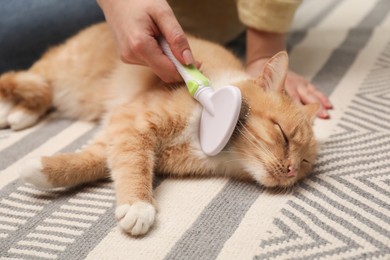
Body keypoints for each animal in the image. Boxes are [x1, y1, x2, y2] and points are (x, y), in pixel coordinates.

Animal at [0, 22, 318, 236]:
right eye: (283, 135)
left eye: (304, 162)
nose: (291, 170)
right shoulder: (132, 123)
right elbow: (134, 165)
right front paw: (138, 205)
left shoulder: (116, 135)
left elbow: (90, 162)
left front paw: (40, 170)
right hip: (65, 74)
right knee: (27, 80)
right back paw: (11, 109)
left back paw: (20, 114)